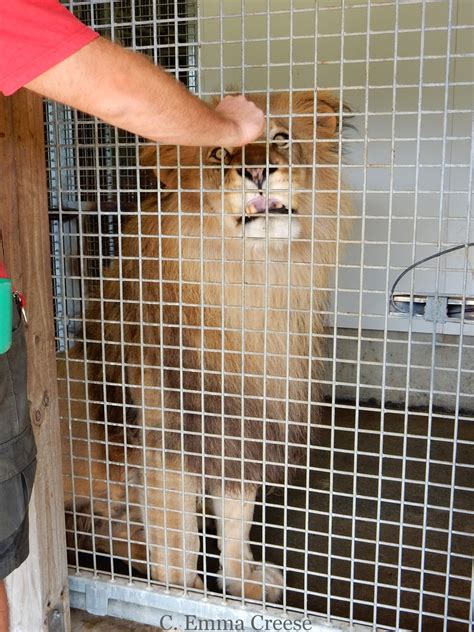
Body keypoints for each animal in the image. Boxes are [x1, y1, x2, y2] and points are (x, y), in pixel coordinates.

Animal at [58, 91, 352, 604]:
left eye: (282, 138)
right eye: (218, 153)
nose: (256, 171)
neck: (251, 283)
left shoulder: (237, 423)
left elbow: (236, 518)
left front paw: (242, 579)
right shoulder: (166, 439)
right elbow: (181, 539)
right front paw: (183, 594)